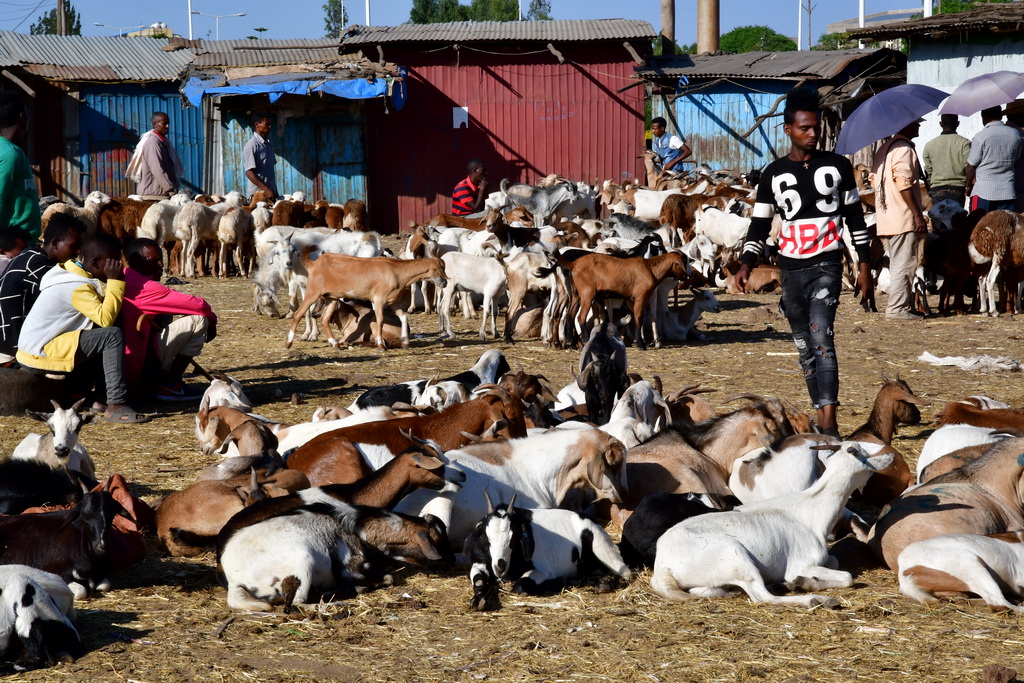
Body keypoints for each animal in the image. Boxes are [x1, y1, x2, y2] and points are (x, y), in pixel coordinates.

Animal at [288, 248, 448, 350]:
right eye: (437, 269)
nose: (445, 283)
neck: (396, 271)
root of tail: (314, 263)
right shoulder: (378, 300)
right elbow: (380, 320)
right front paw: (381, 346)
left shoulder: (392, 302)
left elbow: (403, 316)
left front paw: (405, 342)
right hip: (313, 292)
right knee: (298, 314)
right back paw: (289, 343)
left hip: (331, 297)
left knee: (325, 319)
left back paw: (335, 344)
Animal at [466, 493, 626, 610]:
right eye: (487, 537)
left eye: (514, 537)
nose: (500, 566)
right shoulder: (479, 564)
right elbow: (478, 580)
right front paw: (478, 600)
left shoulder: (543, 570)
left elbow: (519, 585)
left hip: (603, 548)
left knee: (624, 573)